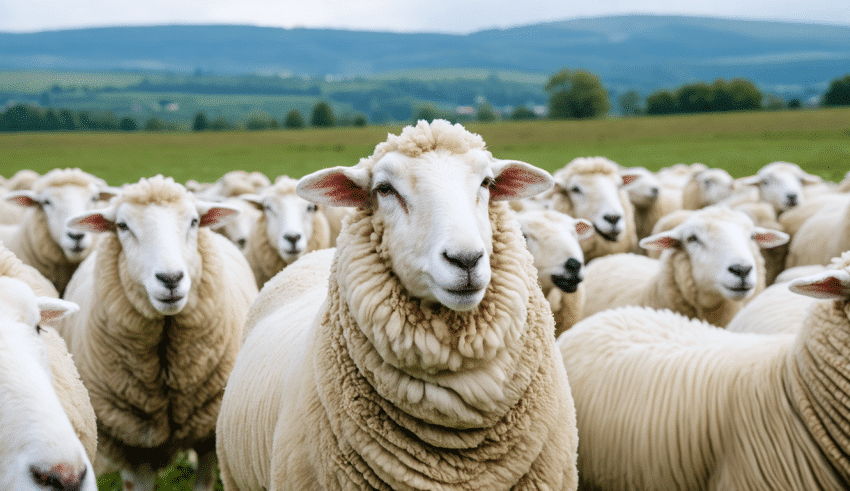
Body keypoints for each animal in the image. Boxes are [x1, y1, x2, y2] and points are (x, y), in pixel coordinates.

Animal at [56, 175, 259, 491]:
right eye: (122, 225)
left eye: (194, 221)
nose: (171, 279)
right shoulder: (132, 445)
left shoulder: (208, 434)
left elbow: (204, 480)